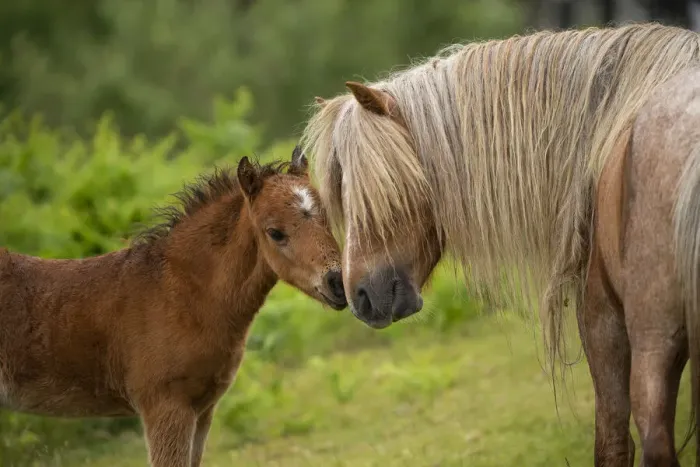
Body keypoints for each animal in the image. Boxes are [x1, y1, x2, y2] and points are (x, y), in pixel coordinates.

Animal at [0, 147, 347, 467]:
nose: (338, 283)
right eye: (275, 232)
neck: (180, 295)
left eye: (328, 219)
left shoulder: (203, 410)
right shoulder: (165, 408)